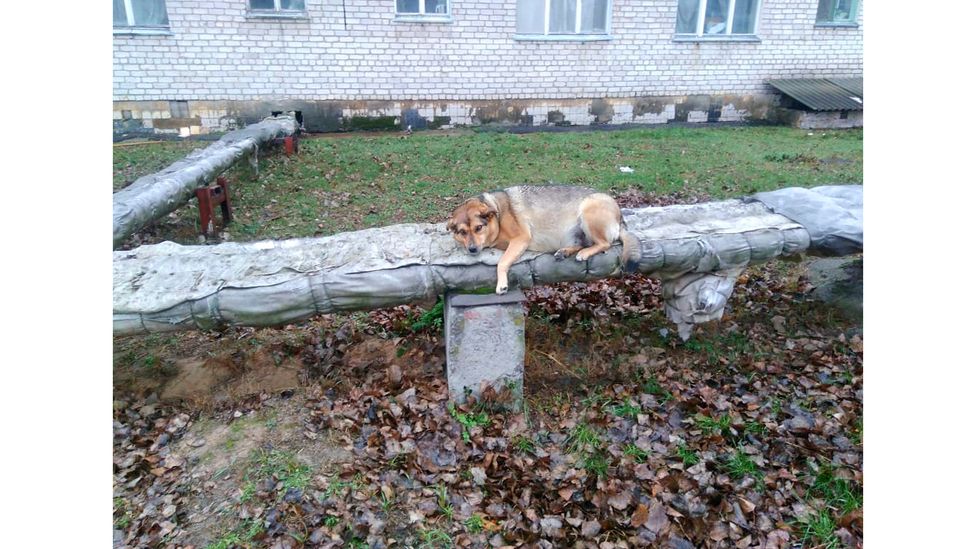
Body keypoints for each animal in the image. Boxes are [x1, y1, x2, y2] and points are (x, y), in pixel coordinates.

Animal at [448, 184, 640, 294]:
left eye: (478, 228)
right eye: (462, 232)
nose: (472, 249)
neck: (497, 214)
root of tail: (620, 216)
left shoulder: (520, 239)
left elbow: (501, 263)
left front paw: (501, 284)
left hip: (588, 212)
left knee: (604, 243)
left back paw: (585, 253)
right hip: (574, 234)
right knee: (581, 243)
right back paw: (564, 252)